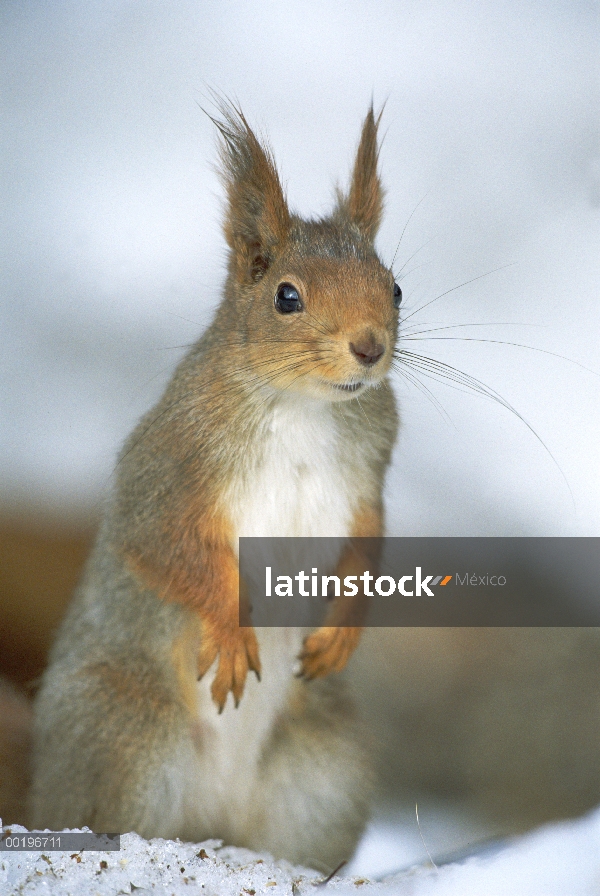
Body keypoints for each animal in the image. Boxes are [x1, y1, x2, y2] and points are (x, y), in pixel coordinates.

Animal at [30, 101, 400, 872]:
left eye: (396, 288)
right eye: (286, 296)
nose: (369, 347)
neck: (302, 407)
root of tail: (215, 827)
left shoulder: (369, 476)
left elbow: (368, 545)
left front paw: (342, 631)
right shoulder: (171, 466)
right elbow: (160, 546)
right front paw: (230, 629)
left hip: (325, 771)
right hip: (127, 738)